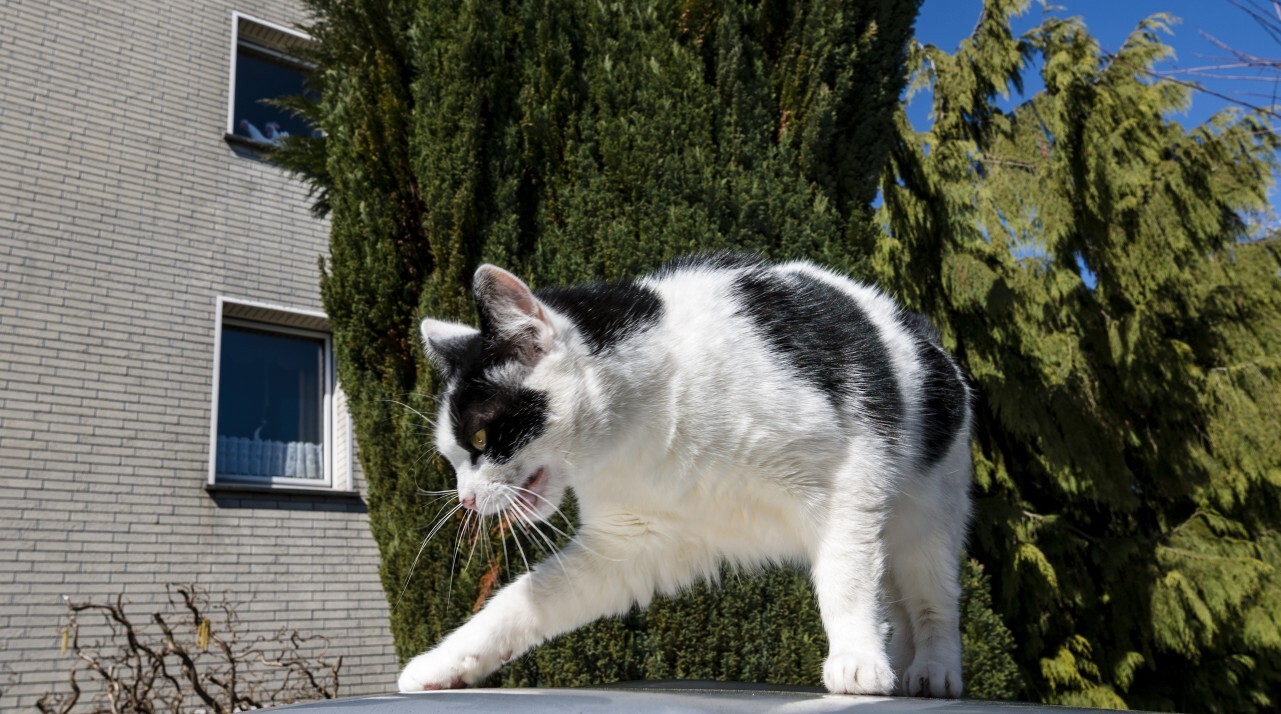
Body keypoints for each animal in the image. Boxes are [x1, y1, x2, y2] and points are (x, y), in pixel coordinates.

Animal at [399, 252, 968, 697]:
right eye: (453, 457)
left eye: (479, 439)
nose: (466, 499)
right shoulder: (626, 545)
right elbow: (518, 603)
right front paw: (443, 663)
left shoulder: (850, 479)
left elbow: (845, 579)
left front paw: (857, 657)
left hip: (927, 517)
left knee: (930, 599)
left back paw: (933, 668)